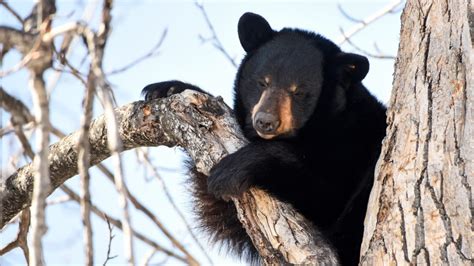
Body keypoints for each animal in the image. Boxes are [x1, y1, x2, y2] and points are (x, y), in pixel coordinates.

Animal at [143, 11, 386, 264]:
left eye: (299, 92)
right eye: (262, 81)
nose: (266, 121)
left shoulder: (350, 145)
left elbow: (327, 193)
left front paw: (229, 172)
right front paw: (168, 88)